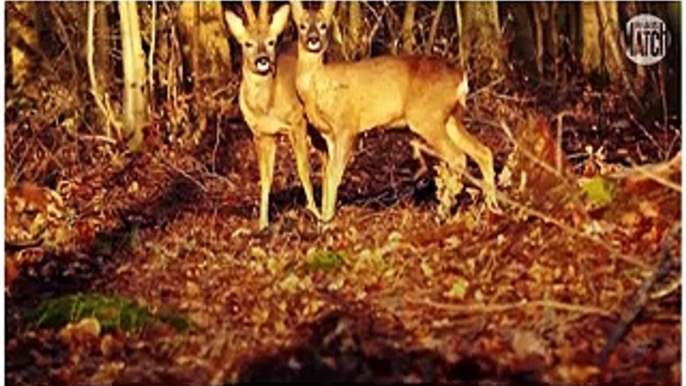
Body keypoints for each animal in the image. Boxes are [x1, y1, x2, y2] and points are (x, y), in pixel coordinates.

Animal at [227, 0, 322, 229]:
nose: (262, 60)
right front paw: (262, 224)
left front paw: (315, 213)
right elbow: (266, 177)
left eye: (271, 42)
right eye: (248, 43)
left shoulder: (297, 122)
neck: (266, 107)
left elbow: (303, 168)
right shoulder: (261, 134)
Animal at [290, 1, 500, 222]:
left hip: (427, 117)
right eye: (302, 26)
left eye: (323, 26)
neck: (317, 88)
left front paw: (327, 220)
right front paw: (324, 218)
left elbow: (334, 174)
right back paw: (492, 206)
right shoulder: (329, 135)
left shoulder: (347, 125)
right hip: (450, 117)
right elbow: (328, 173)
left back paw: (443, 213)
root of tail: (461, 77)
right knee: (483, 151)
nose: (313, 39)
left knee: (458, 156)